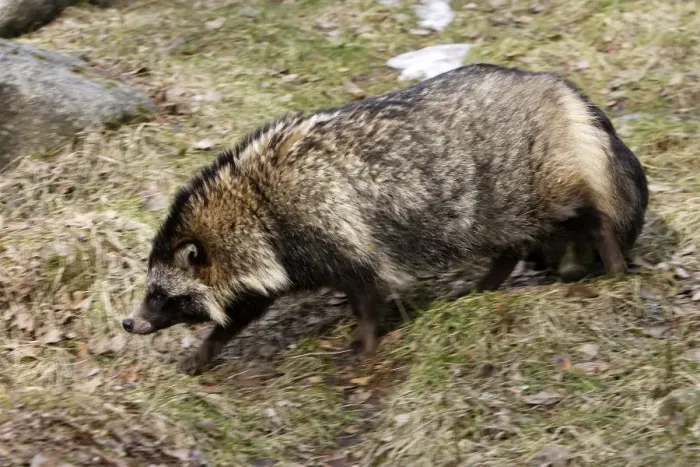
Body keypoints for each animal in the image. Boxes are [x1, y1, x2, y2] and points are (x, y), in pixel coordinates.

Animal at [122, 63, 646, 375]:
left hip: (532, 183)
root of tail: (560, 89)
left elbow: (367, 291)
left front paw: (366, 338)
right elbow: (244, 309)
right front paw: (208, 347)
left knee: (583, 216)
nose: (129, 323)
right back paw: (489, 281)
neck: (256, 205)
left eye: (160, 295)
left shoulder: (334, 228)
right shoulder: (280, 260)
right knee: (510, 242)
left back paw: (608, 253)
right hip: (494, 207)